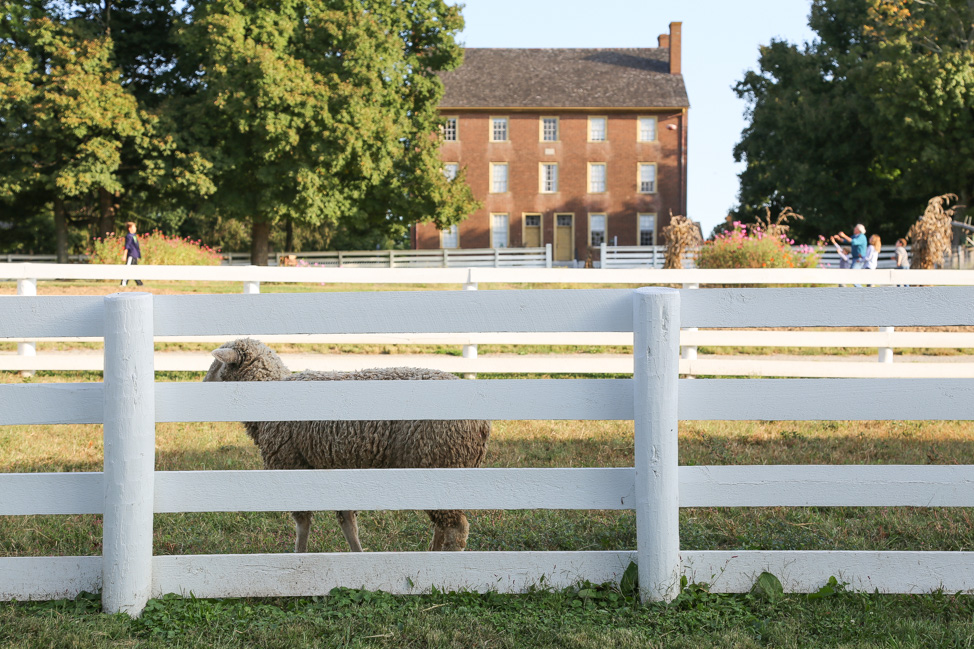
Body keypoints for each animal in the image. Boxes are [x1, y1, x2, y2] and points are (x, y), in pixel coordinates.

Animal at [202, 336, 492, 556]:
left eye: (217, 364)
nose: (201, 386)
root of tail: (483, 424)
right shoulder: (335, 468)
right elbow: (348, 522)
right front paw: (357, 556)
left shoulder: (291, 463)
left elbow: (303, 522)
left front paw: (299, 555)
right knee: (443, 524)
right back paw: (433, 555)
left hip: (440, 460)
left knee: (456, 528)